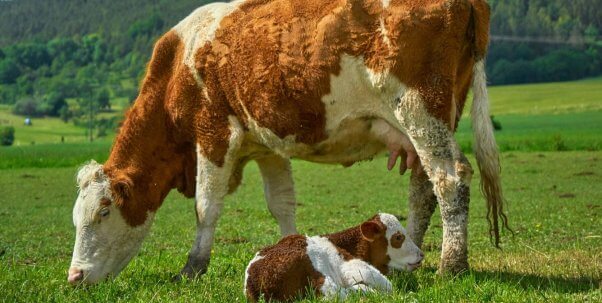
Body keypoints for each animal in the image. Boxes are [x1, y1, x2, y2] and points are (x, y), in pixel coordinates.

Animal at [67, 0, 506, 284]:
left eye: (103, 212)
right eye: (76, 217)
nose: (74, 276)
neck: (181, 63)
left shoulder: (213, 131)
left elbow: (206, 207)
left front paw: (192, 267)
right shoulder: (266, 146)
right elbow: (282, 204)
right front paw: (292, 250)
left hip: (420, 108)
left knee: (450, 178)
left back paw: (451, 265)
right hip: (432, 119)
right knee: (423, 189)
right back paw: (410, 255)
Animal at [244, 215, 422, 302]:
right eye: (398, 237)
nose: (421, 255)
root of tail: (256, 281)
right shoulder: (353, 265)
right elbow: (388, 286)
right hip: (318, 272)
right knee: (335, 294)